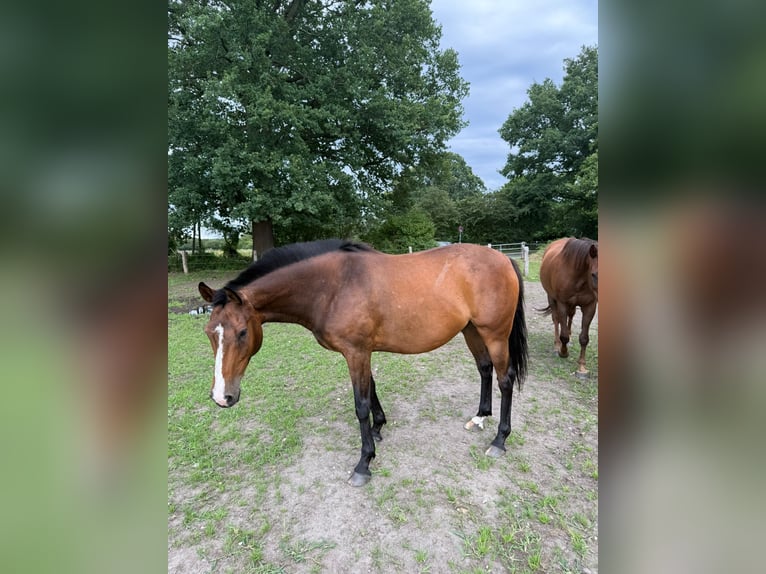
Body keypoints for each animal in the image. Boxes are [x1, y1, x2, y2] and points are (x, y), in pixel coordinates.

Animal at [198, 239, 528, 486]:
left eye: (242, 332)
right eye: (209, 332)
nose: (222, 396)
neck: (333, 286)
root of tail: (503, 259)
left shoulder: (356, 352)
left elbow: (361, 404)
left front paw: (364, 462)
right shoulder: (361, 351)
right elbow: (371, 389)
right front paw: (379, 427)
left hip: (495, 334)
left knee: (505, 379)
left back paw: (499, 439)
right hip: (471, 330)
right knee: (484, 369)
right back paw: (480, 417)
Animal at [539, 237, 598, 377]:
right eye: (594, 274)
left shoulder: (590, 306)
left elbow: (584, 338)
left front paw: (582, 368)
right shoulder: (562, 304)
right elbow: (564, 334)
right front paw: (563, 352)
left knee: (570, 317)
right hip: (552, 298)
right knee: (556, 320)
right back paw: (557, 345)